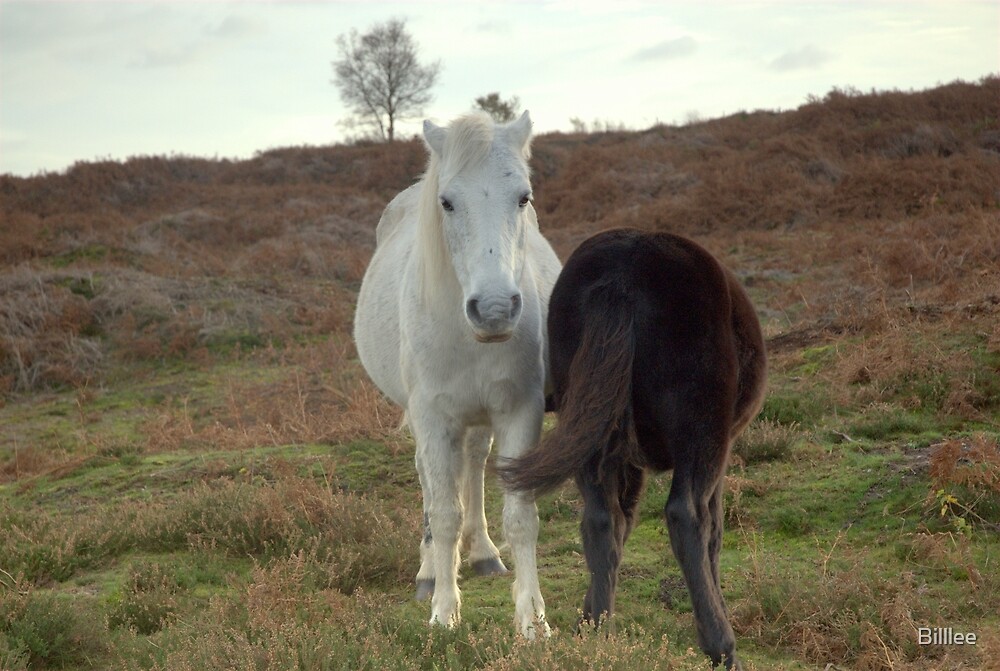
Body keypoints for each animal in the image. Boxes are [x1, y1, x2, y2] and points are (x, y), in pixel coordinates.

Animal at [353, 111, 561, 638]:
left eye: (524, 197)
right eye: (447, 202)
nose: (494, 310)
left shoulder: (519, 411)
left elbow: (520, 516)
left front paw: (533, 621)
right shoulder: (432, 416)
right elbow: (445, 513)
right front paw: (444, 613)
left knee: (474, 462)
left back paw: (484, 553)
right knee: (431, 483)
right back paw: (429, 571)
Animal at [498, 228, 767, 669]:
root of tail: (621, 277)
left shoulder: (624, 457)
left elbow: (619, 526)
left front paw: (588, 618)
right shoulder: (719, 452)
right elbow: (714, 532)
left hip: (592, 432)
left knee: (600, 520)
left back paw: (596, 635)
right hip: (701, 434)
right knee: (686, 514)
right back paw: (721, 646)